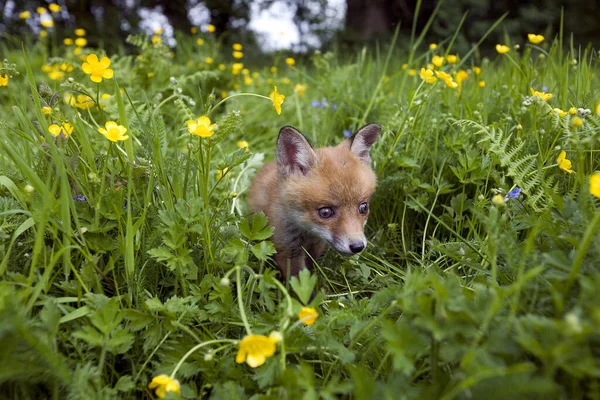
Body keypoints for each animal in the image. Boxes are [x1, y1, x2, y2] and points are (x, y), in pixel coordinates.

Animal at [247, 124, 380, 278]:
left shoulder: (316, 247)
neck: (307, 233)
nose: (358, 246)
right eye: (325, 212)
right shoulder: (287, 249)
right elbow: (298, 279)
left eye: (364, 208)